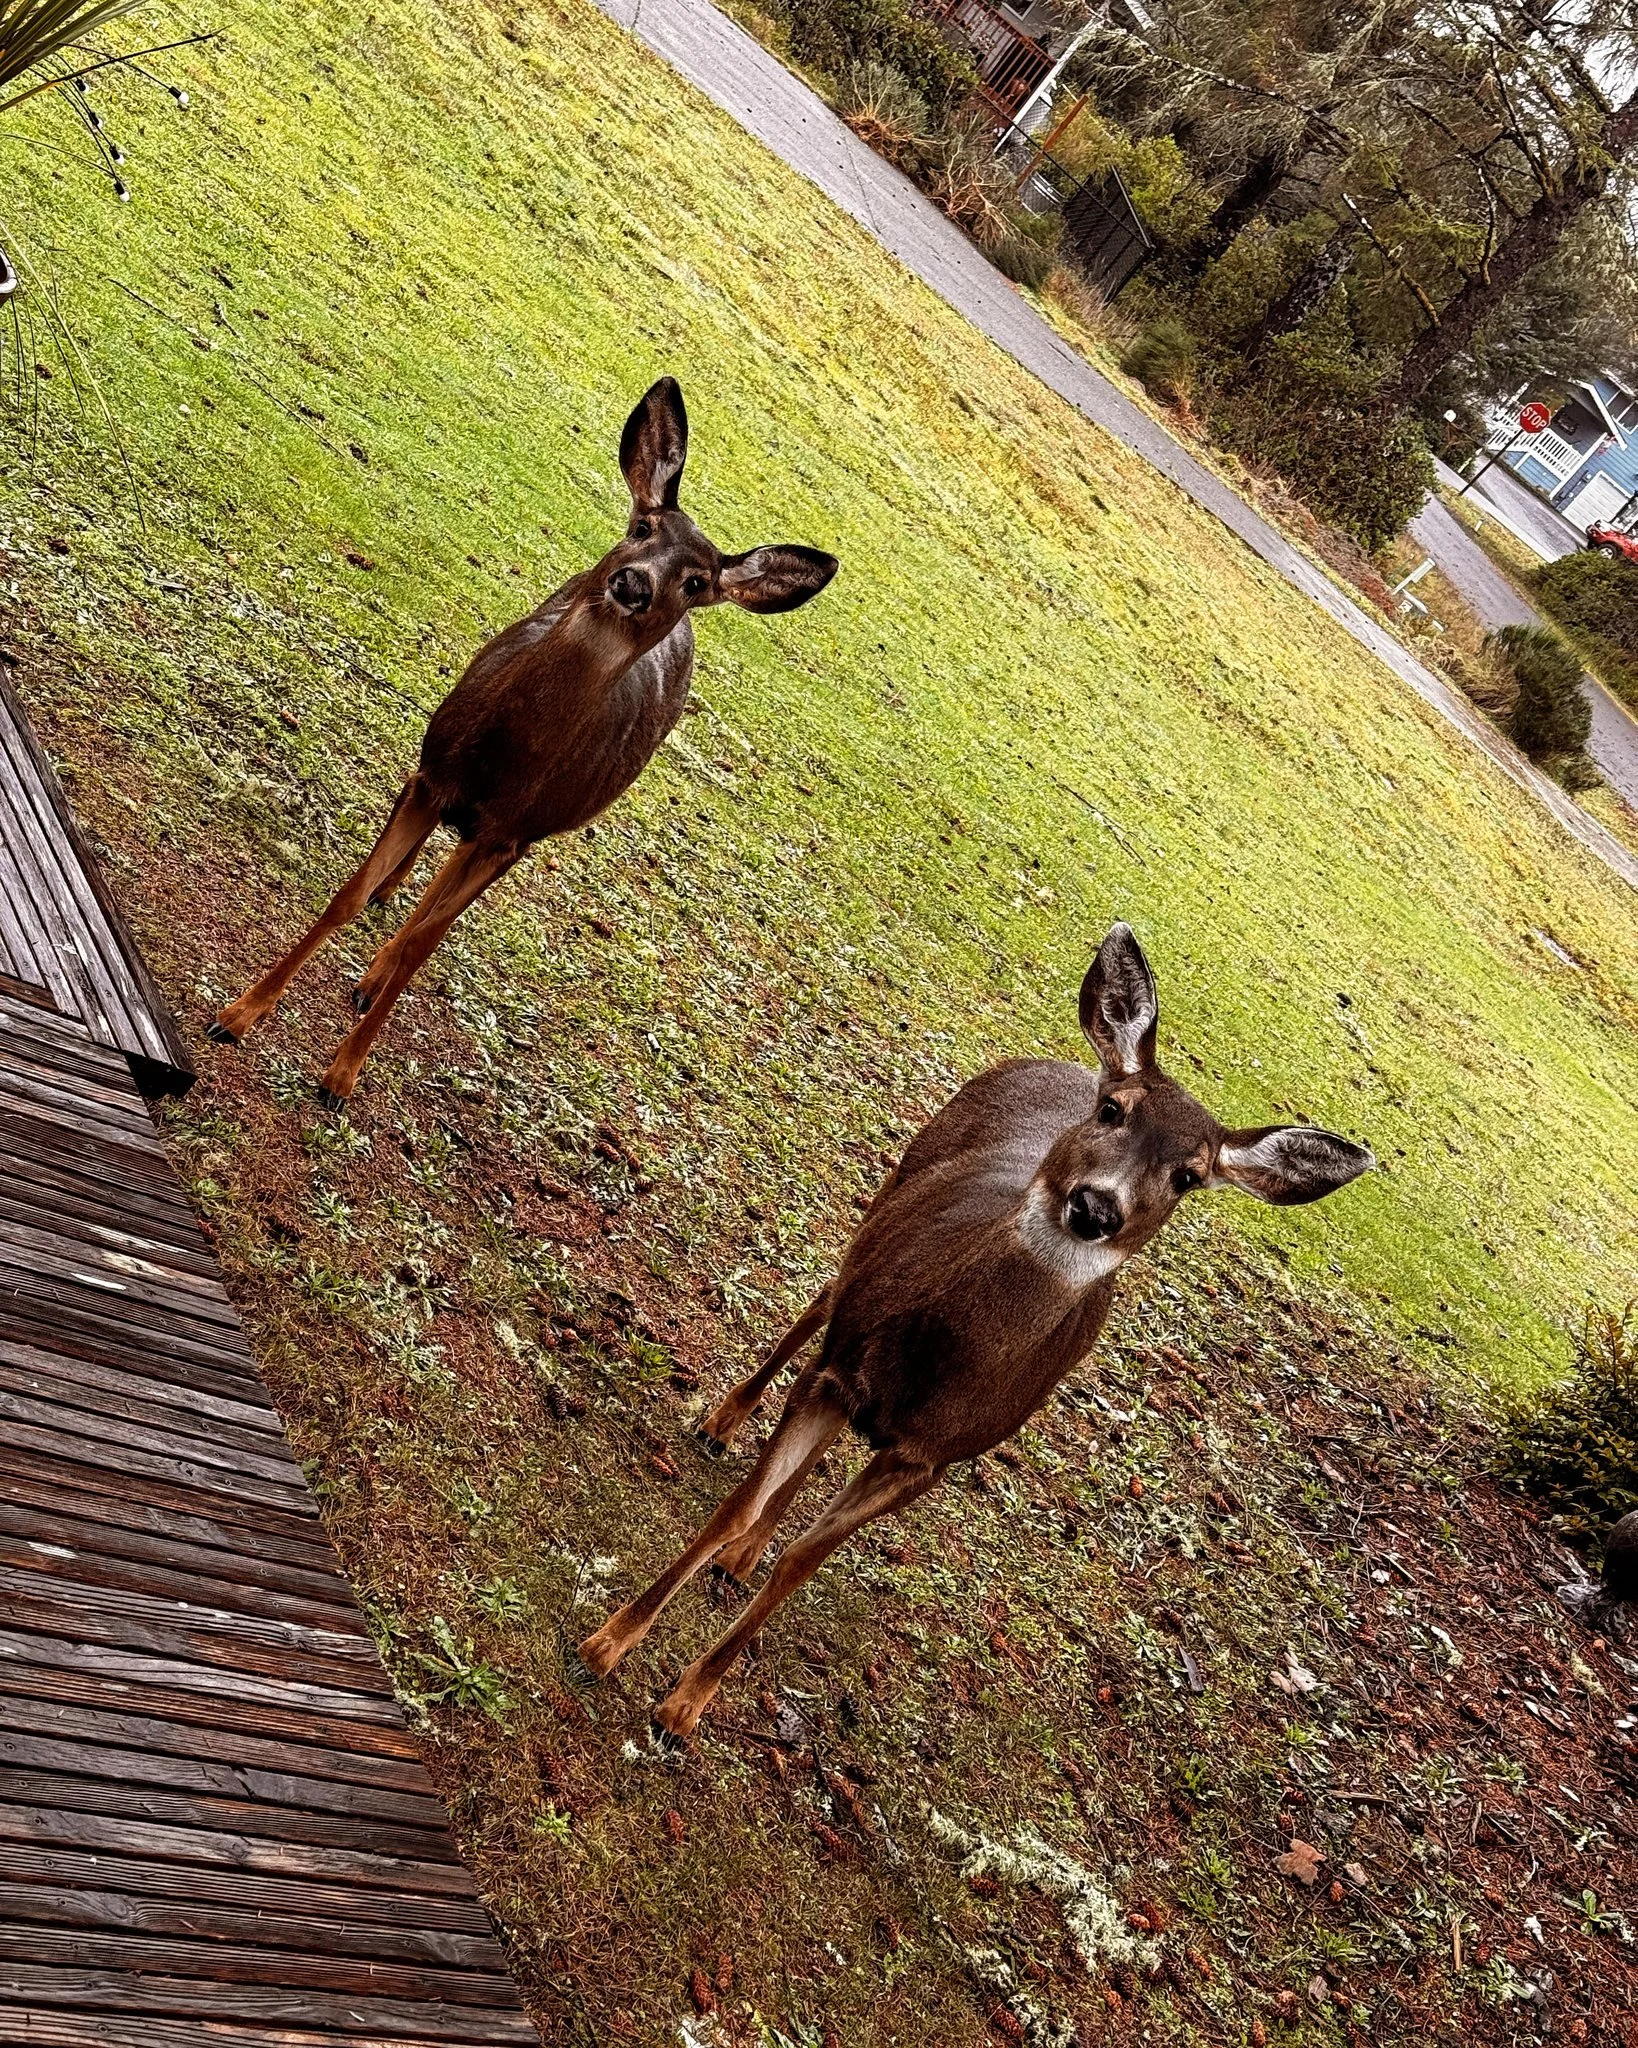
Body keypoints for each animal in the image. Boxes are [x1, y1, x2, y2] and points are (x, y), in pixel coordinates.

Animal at [205, 378, 837, 1105]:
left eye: (698, 581)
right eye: (642, 527)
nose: (635, 583)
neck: (500, 758)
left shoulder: (512, 832)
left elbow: (425, 946)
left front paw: (342, 1075)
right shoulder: (432, 776)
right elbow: (350, 894)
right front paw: (238, 1014)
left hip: (537, 829)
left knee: (442, 905)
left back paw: (371, 977)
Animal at [577, 923, 1373, 1746]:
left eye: (1188, 1176)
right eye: (1113, 1110)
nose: (1097, 1207)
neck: (932, 1363)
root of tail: (1064, 1059)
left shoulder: (934, 1456)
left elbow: (803, 1561)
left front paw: (687, 1704)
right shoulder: (840, 1369)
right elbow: (740, 1498)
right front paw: (609, 1644)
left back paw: (740, 1561)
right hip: (893, 1191)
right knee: (823, 1301)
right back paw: (724, 1424)